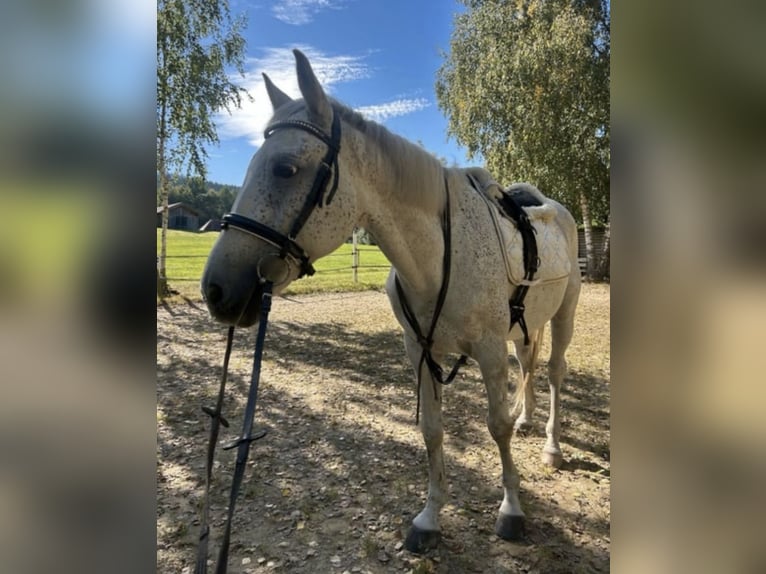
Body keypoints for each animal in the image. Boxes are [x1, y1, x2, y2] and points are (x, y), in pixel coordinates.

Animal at [201, 49, 581, 553]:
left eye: (286, 169)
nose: (216, 290)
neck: (437, 255)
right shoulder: (420, 351)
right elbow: (433, 431)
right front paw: (430, 518)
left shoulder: (488, 350)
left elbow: (494, 426)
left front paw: (511, 510)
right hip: (523, 327)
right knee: (530, 365)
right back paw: (527, 419)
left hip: (563, 314)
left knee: (554, 371)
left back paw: (551, 447)